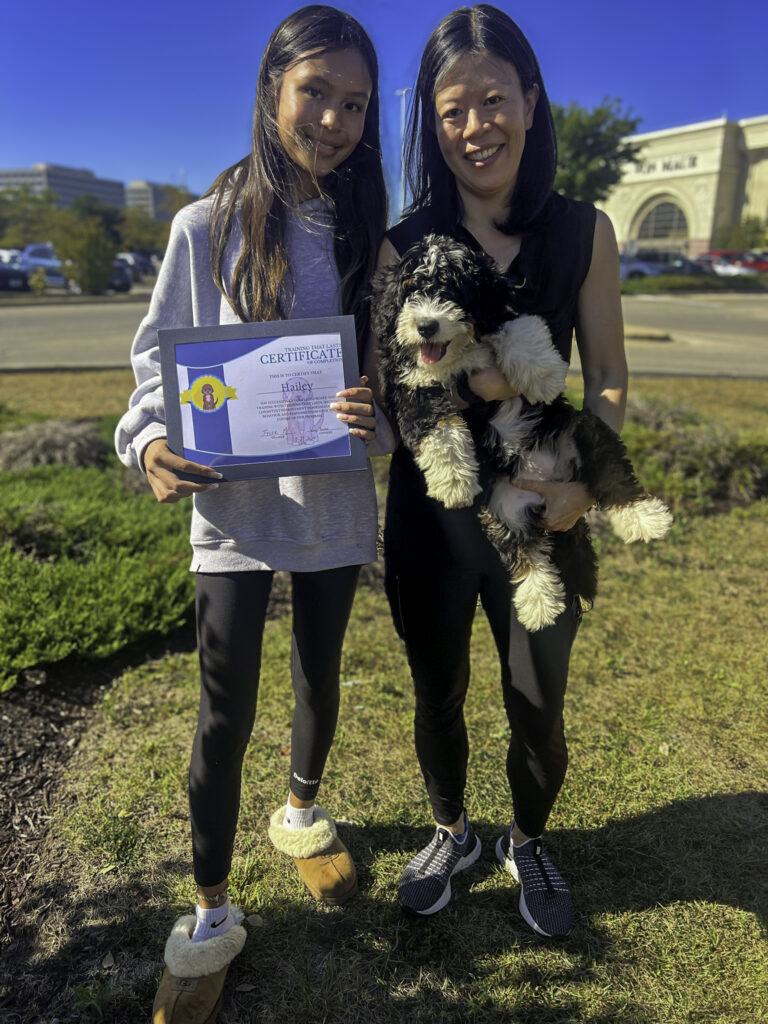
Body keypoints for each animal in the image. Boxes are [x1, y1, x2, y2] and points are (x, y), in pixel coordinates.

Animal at [372, 235, 671, 630]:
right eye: (409, 289)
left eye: (453, 289)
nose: (426, 326)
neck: (459, 354)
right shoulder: (408, 386)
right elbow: (438, 429)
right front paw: (454, 483)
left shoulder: (503, 313)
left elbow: (517, 328)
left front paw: (542, 375)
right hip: (504, 507)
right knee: (524, 551)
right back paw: (538, 601)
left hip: (581, 430)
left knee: (612, 474)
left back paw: (645, 518)